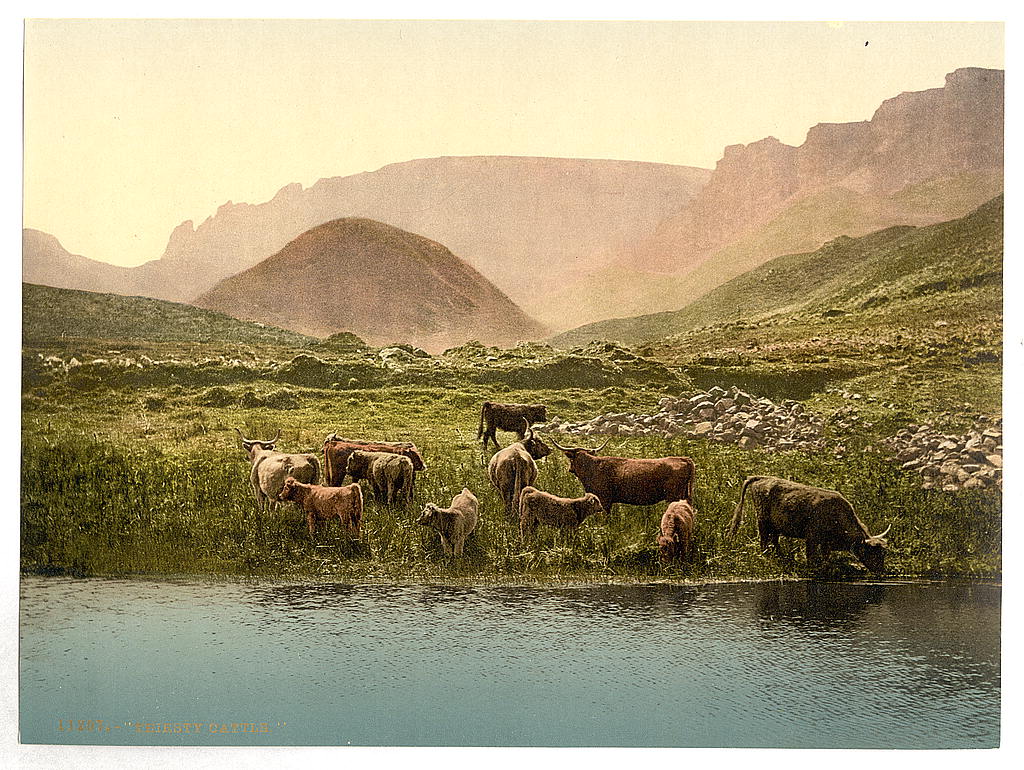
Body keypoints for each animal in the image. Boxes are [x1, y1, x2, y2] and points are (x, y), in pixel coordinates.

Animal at [544, 436, 696, 514]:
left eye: (571, 460)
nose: (570, 469)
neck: (591, 468)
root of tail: (685, 459)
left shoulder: (604, 499)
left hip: (673, 496)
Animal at [729, 473, 888, 573]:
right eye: (872, 552)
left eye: (883, 553)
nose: (881, 570)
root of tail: (761, 477)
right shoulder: (812, 537)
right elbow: (811, 556)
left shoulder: (825, 543)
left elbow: (825, 556)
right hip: (762, 519)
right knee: (764, 539)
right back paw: (766, 556)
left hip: (776, 525)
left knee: (774, 540)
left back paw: (780, 556)